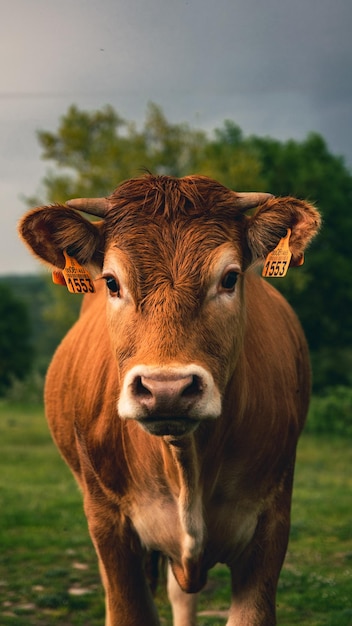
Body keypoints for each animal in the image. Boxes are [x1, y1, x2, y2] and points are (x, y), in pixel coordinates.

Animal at [19, 174, 322, 624]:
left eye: (230, 278)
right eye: (112, 282)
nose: (167, 389)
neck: (186, 464)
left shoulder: (271, 521)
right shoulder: (108, 524)